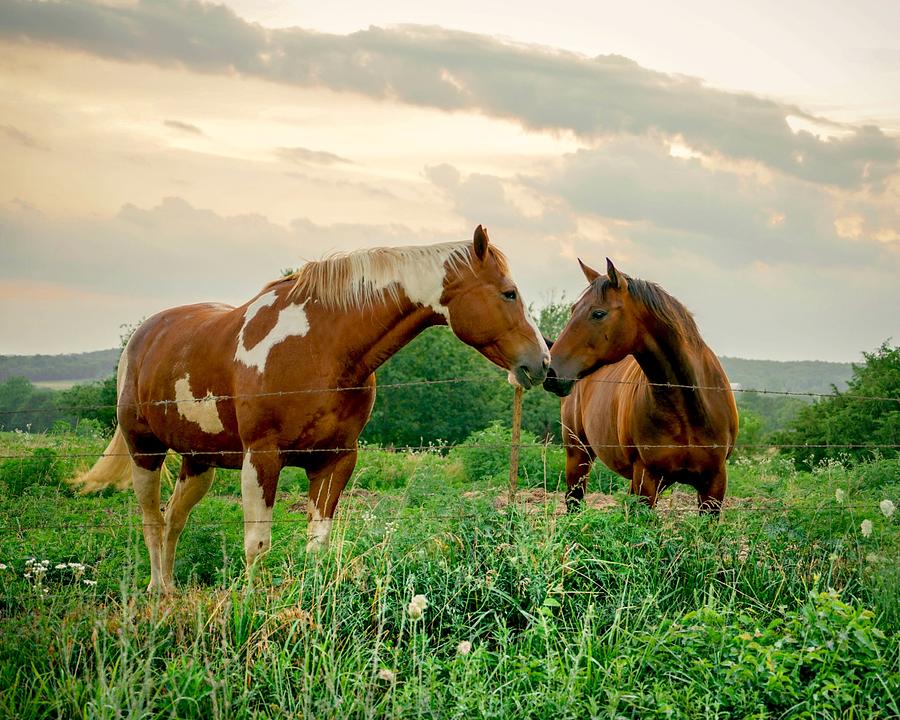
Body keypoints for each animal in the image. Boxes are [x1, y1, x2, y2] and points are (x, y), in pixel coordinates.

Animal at [77, 228, 552, 592]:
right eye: (509, 293)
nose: (541, 363)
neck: (320, 348)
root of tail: (143, 336)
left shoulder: (334, 459)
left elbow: (317, 544)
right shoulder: (261, 458)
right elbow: (257, 544)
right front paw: (250, 611)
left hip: (199, 462)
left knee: (174, 519)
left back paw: (172, 591)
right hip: (145, 452)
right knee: (152, 520)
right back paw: (158, 590)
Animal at [540, 258, 740, 512]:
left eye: (598, 313)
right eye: (573, 309)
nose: (550, 372)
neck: (687, 407)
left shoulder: (714, 485)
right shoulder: (647, 480)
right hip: (578, 455)